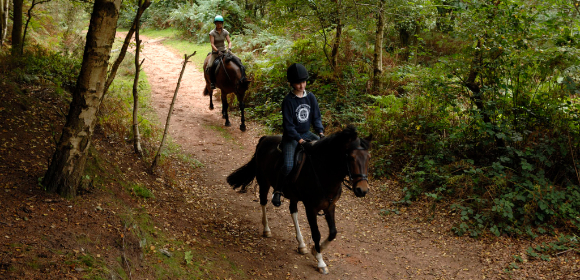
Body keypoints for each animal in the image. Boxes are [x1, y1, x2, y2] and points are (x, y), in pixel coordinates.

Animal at [227, 124, 372, 274]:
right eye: (351, 157)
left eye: (369, 157)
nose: (362, 190)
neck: (323, 172)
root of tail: (265, 138)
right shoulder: (311, 208)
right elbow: (316, 234)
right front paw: (320, 261)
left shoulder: (330, 206)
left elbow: (333, 233)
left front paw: (315, 250)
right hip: (264, 182)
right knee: (263, 202)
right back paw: (267, 230)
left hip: (293, 194)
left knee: (293, 211)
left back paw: (301, 245)